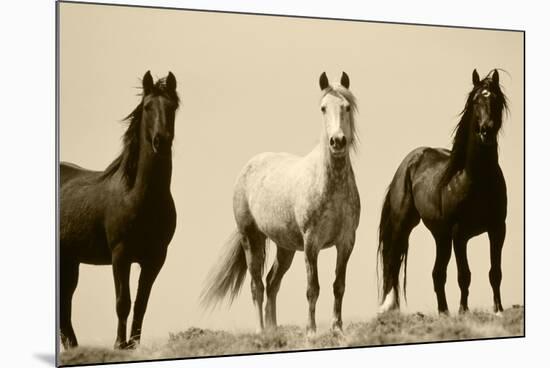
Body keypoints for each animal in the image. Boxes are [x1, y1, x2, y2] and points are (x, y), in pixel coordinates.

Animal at [60, 70, 181, 350]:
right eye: (147, 107)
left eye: (172, 107)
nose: (161, 141)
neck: (139, 196)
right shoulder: (120, 255)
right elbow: (123, 302)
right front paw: (119, 344)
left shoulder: (155, 259)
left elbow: (141, 304)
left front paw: (133, 345)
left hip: (70, 261)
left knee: (65, 304)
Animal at [203, 72, 362, 336]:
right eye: (322, 108)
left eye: (347, 107)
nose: (337, 141)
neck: (330, 184)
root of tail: (248, 167)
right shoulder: (311, 244)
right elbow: (312, 288)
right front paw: (311, 331)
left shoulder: (346, 242)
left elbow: (338, 285)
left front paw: (337, 328)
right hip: (251, 239)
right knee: (257, 285)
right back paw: (261, 331)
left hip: (285, 247)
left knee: (271, 282)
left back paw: (274, 329)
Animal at [378, 69, 512, 316]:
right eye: (476, 100)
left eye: (496, 100)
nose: (486, 130)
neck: (476, 179)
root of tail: (408, 163)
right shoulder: (460, 233)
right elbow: (464, 275)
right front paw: (464, 311)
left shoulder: (498, 229)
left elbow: (495, 272)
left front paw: (498, 309)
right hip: (405, 226)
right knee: (392, 262)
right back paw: (390, 307)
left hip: (441, 236)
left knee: (437, 274)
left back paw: (444, 312)